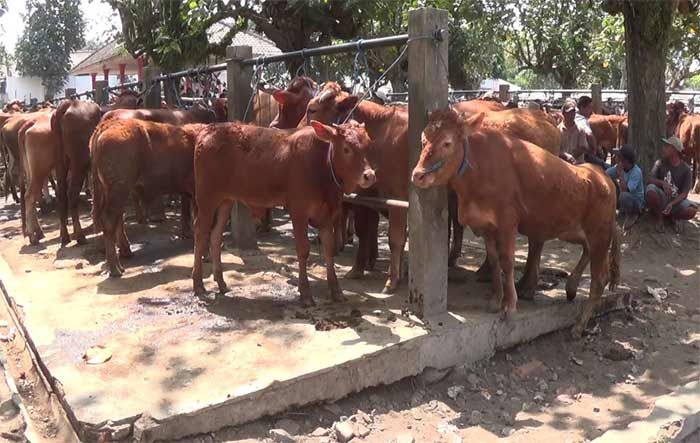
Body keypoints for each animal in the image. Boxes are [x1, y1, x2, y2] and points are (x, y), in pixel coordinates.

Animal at [50, 99, 101, 246]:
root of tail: (67, 104)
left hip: (60, 161)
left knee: (61, 193)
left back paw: (64, 236)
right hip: (79, 163)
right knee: (72, 194)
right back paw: (80, 236)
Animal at [90, 119, 206, 276]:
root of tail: (107, 125)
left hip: (112, 191)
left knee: (116, 218)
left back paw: (125, 254)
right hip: (118, 189)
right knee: (109, 219)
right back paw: (115, 269)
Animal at [191, 121, 378, 306]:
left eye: (368, 146)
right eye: (346, 148)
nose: (369, 176)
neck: (322, 168)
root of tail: (208, 130)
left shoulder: (326, 215)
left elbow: (329, 249)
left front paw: (336, 291)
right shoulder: (299, 210)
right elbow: (303, 250)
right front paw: (305, 293)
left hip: (226, 199)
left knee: (215, 235)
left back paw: (221, 282)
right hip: (206, 197)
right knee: (200, 232)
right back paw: (198, 284)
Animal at [410, 110, 616, 336]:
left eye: (447, 143)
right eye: (423, 140)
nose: (418, 175)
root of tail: (603, 176)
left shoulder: (508, 223)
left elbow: (507, 262)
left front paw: (510, 306)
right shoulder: (486, 225)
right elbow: (494, 260)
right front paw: (496, 300)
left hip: (599, 235)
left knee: (599, 279)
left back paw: (579, 326)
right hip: (575, 231)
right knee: (586, 252)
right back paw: (570, 287)